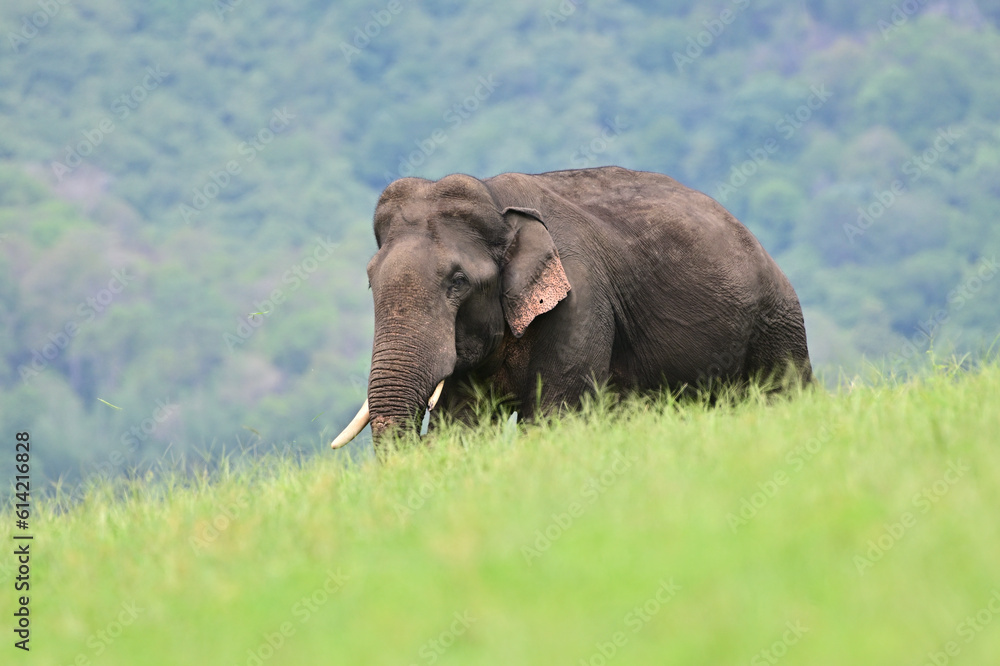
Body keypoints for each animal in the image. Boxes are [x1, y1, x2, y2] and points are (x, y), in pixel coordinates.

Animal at [331, 166, 811, 449]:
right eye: (370, 279)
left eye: (459, 282)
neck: (498, 203)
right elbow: (466, 425)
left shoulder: (581, 302)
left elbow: (554, 418)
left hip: (778, 323)